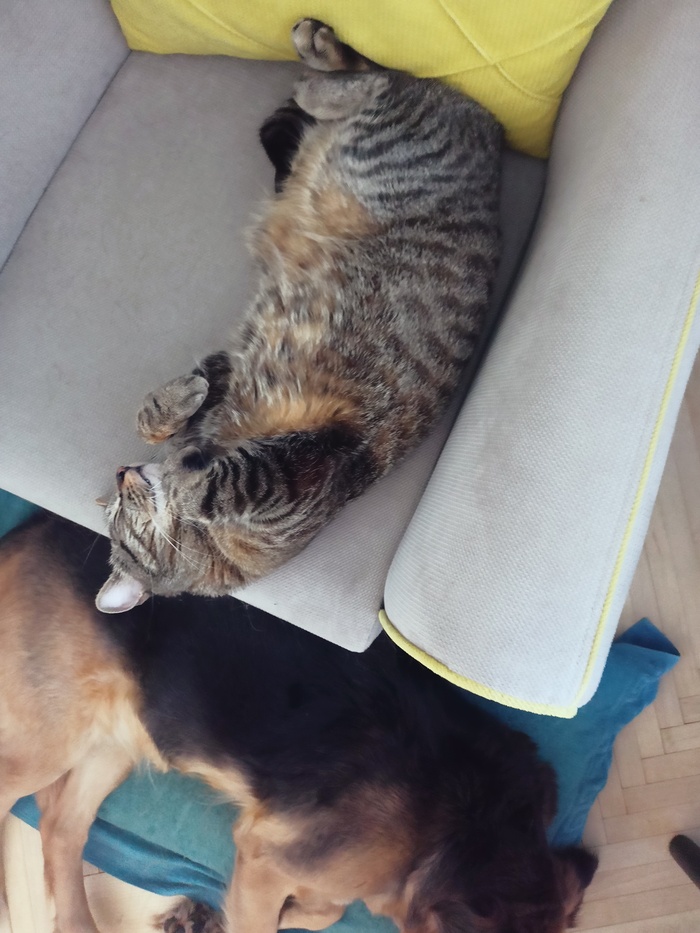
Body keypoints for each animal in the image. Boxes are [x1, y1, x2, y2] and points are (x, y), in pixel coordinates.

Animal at [0, 511, 596, 933]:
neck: (470, 831)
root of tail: (35, 527)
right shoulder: (264, 861)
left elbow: (329, 909)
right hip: (49, 741)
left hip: (121, 738)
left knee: (60, 827)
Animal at [97, 19, 502, 613]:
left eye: (115, 512)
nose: (121, 472)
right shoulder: (237, 376)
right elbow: (199, 436)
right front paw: (178, 425)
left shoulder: (307, 462)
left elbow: (215, 472)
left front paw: (171, 434)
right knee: (381, 81)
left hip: (379, 152)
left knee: (383, 79)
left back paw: (315, 65)